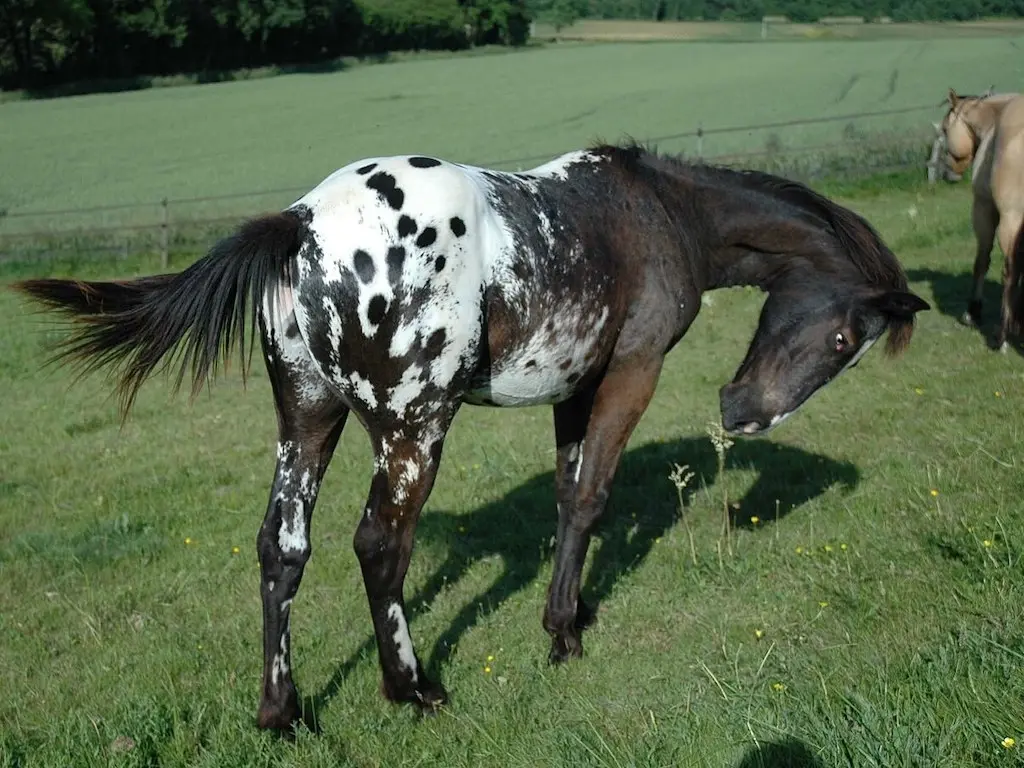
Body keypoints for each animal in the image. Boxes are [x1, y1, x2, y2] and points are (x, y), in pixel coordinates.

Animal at [12, 141, 933, 737]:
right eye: (843, 342)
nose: (741, 413)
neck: (658, 210)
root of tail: (300, 225)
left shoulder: (574, 388)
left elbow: (566, 498)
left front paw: (572, 611)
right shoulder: (629, 375)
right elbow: (591, 496)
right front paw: (563, 635)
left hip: (308, 420)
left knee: (283, 547)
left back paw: (283, 714)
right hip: (415, 428)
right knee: (379, 544)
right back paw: (414, 691)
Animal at [937, 88, 1024, 350]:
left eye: (944, 129)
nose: (946, 172)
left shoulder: (984, 210)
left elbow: (982, 261)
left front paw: (973, 312)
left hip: (1010, 220)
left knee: (1010, 272)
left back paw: (1001, 336)